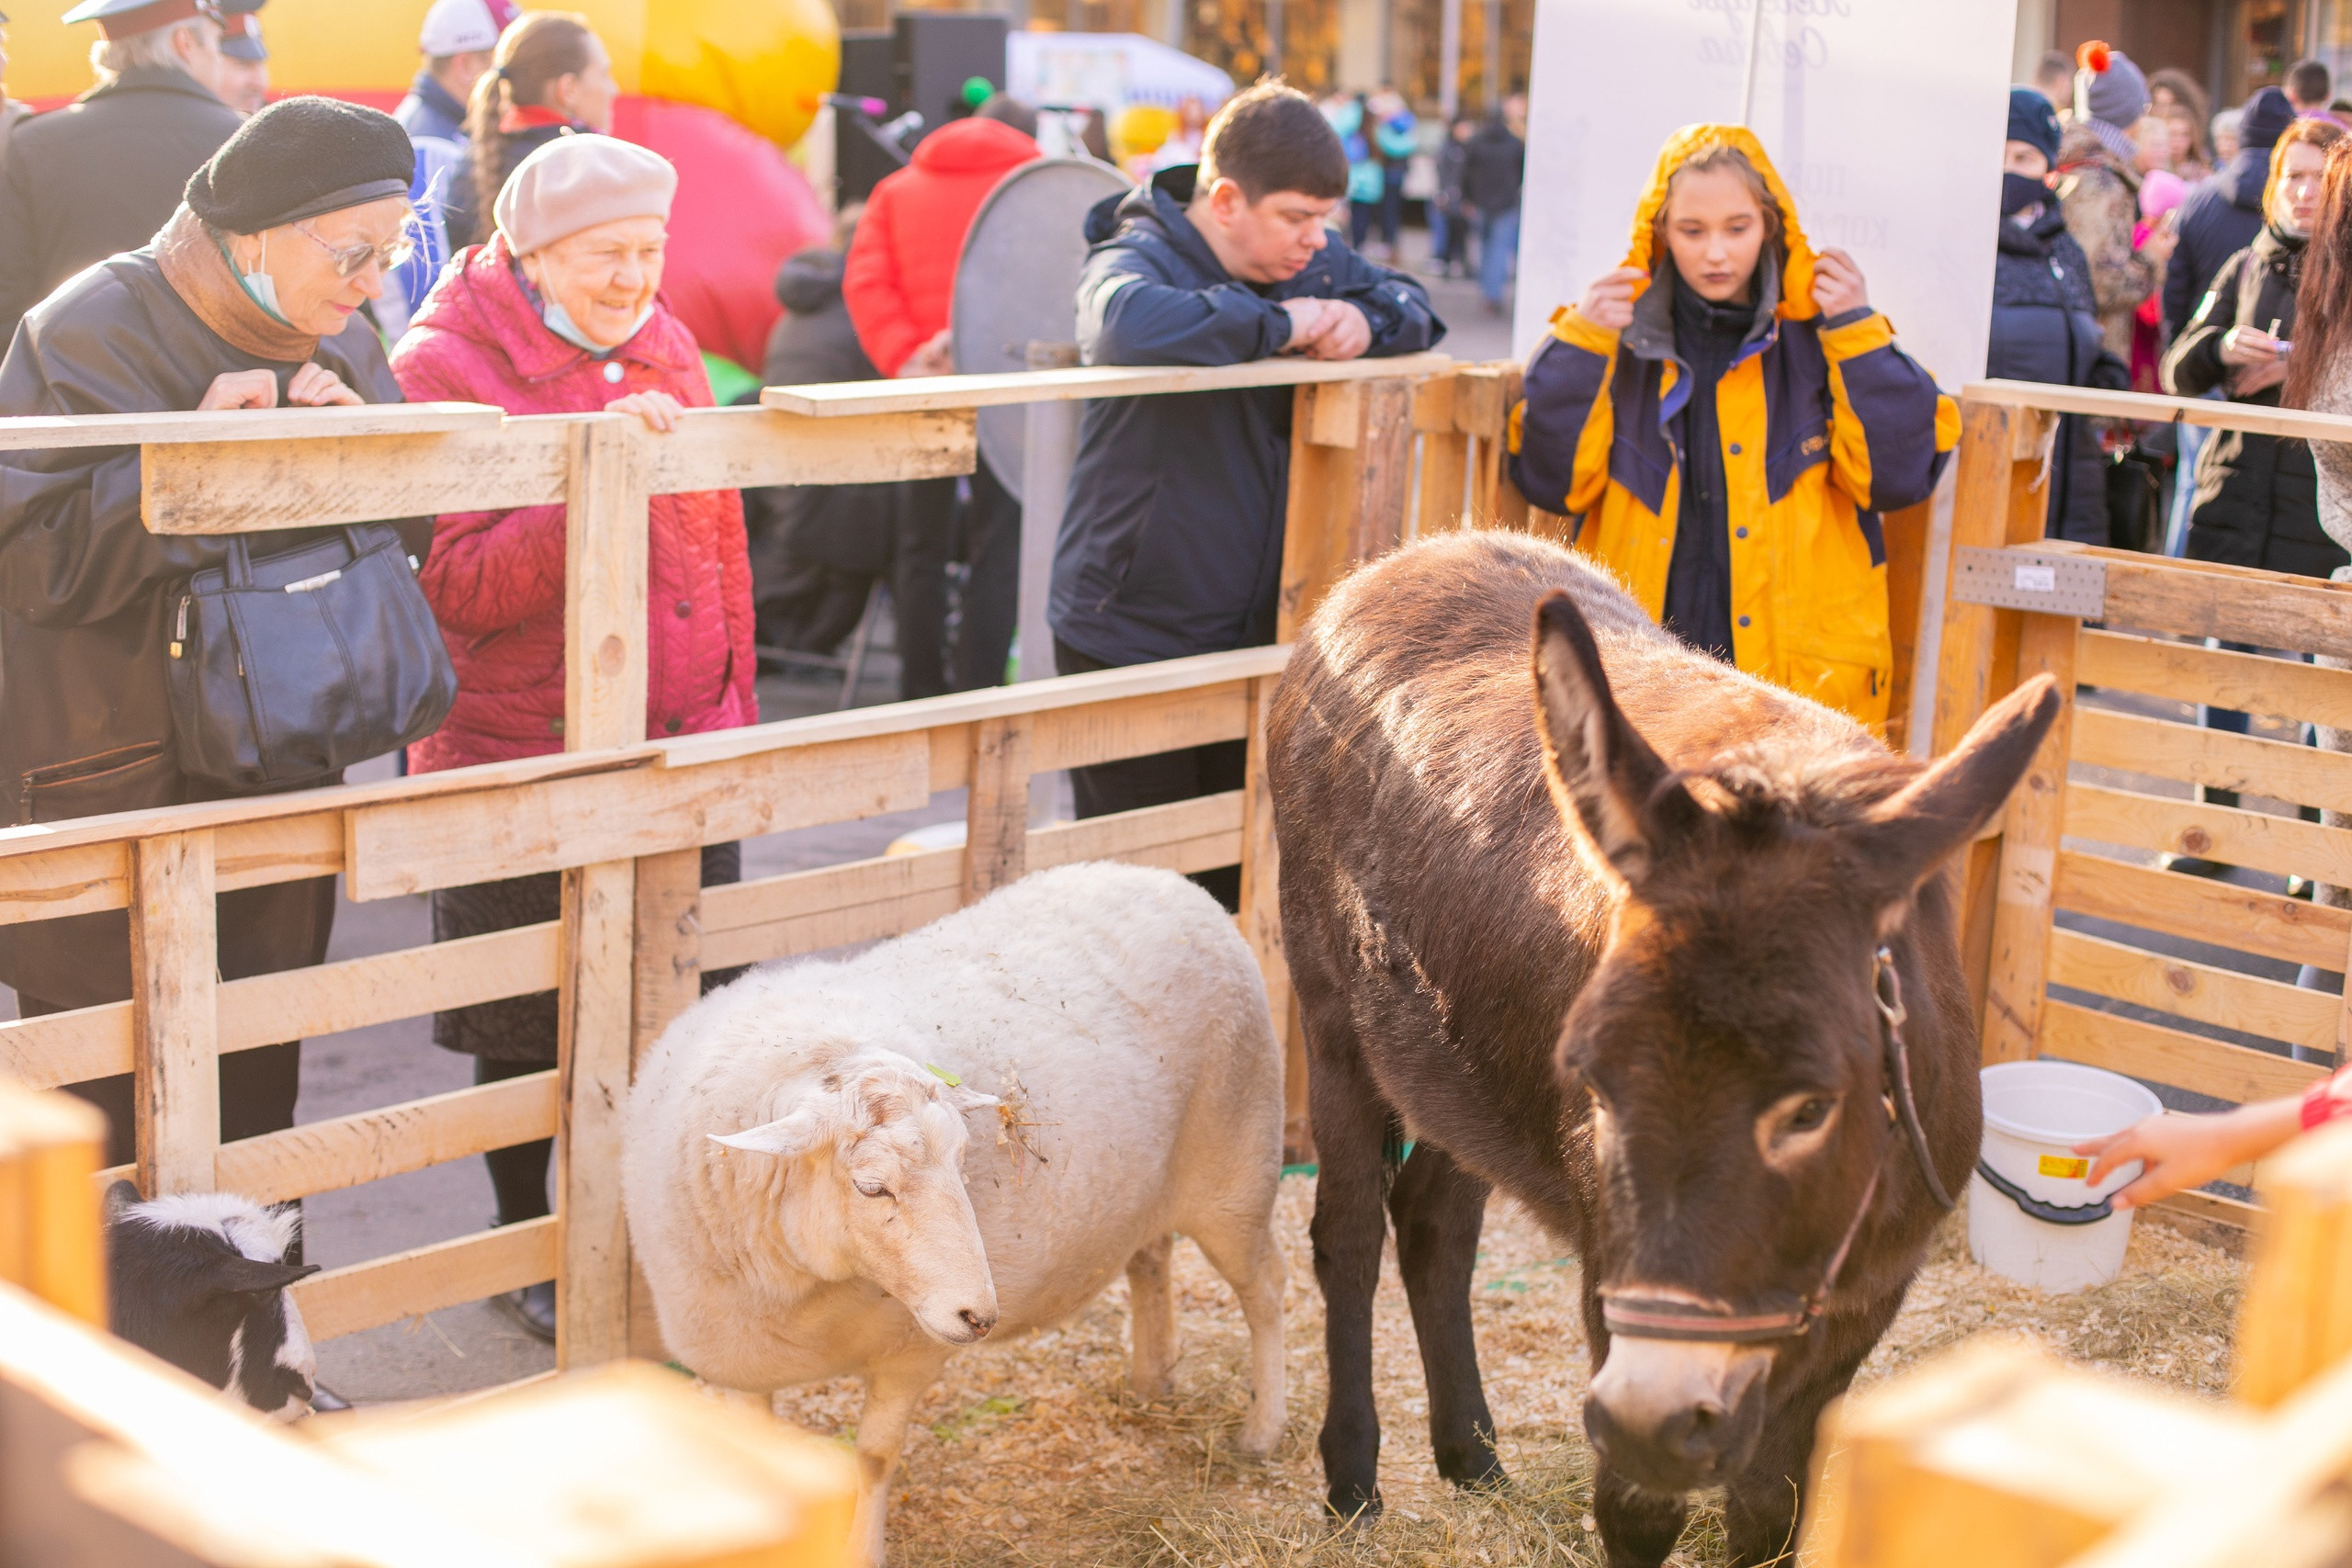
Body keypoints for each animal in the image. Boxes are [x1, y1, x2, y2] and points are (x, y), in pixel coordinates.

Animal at [616, 864, 1298, 1561]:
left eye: (965, 1158)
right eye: (871, 1187)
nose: (981, 1316)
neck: (813, 1290)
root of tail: (1172, 882)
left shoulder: (909, 1351)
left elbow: (874, 1457)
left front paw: (862, 1551)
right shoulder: (741, 1366)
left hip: (1235, 1169)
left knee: (1266, 1289)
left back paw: (1262, 1428)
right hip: (1147, 1187)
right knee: (1151, 1260)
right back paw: (1151, 1379)